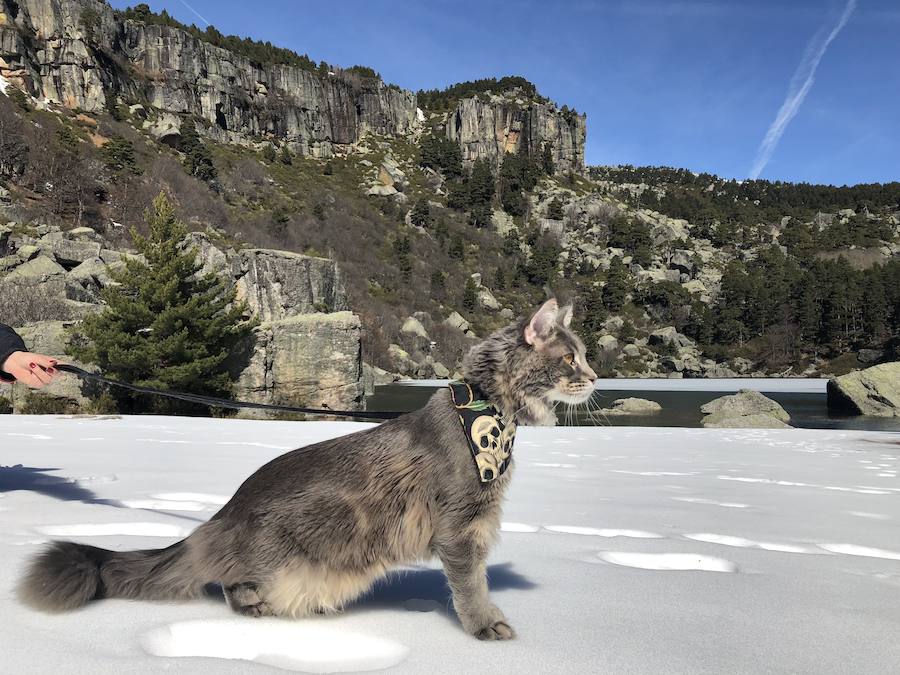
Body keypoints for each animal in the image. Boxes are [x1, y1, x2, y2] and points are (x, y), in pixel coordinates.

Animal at [17, 300, 596, 640]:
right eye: (570, 359)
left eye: (585, 357)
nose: (593, 377)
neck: (486, 416)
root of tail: (218, 519)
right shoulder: (460, 526)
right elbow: (471, 588)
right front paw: (486, 626)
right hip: (289, 555)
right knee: (229, 584)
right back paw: (261, 608)